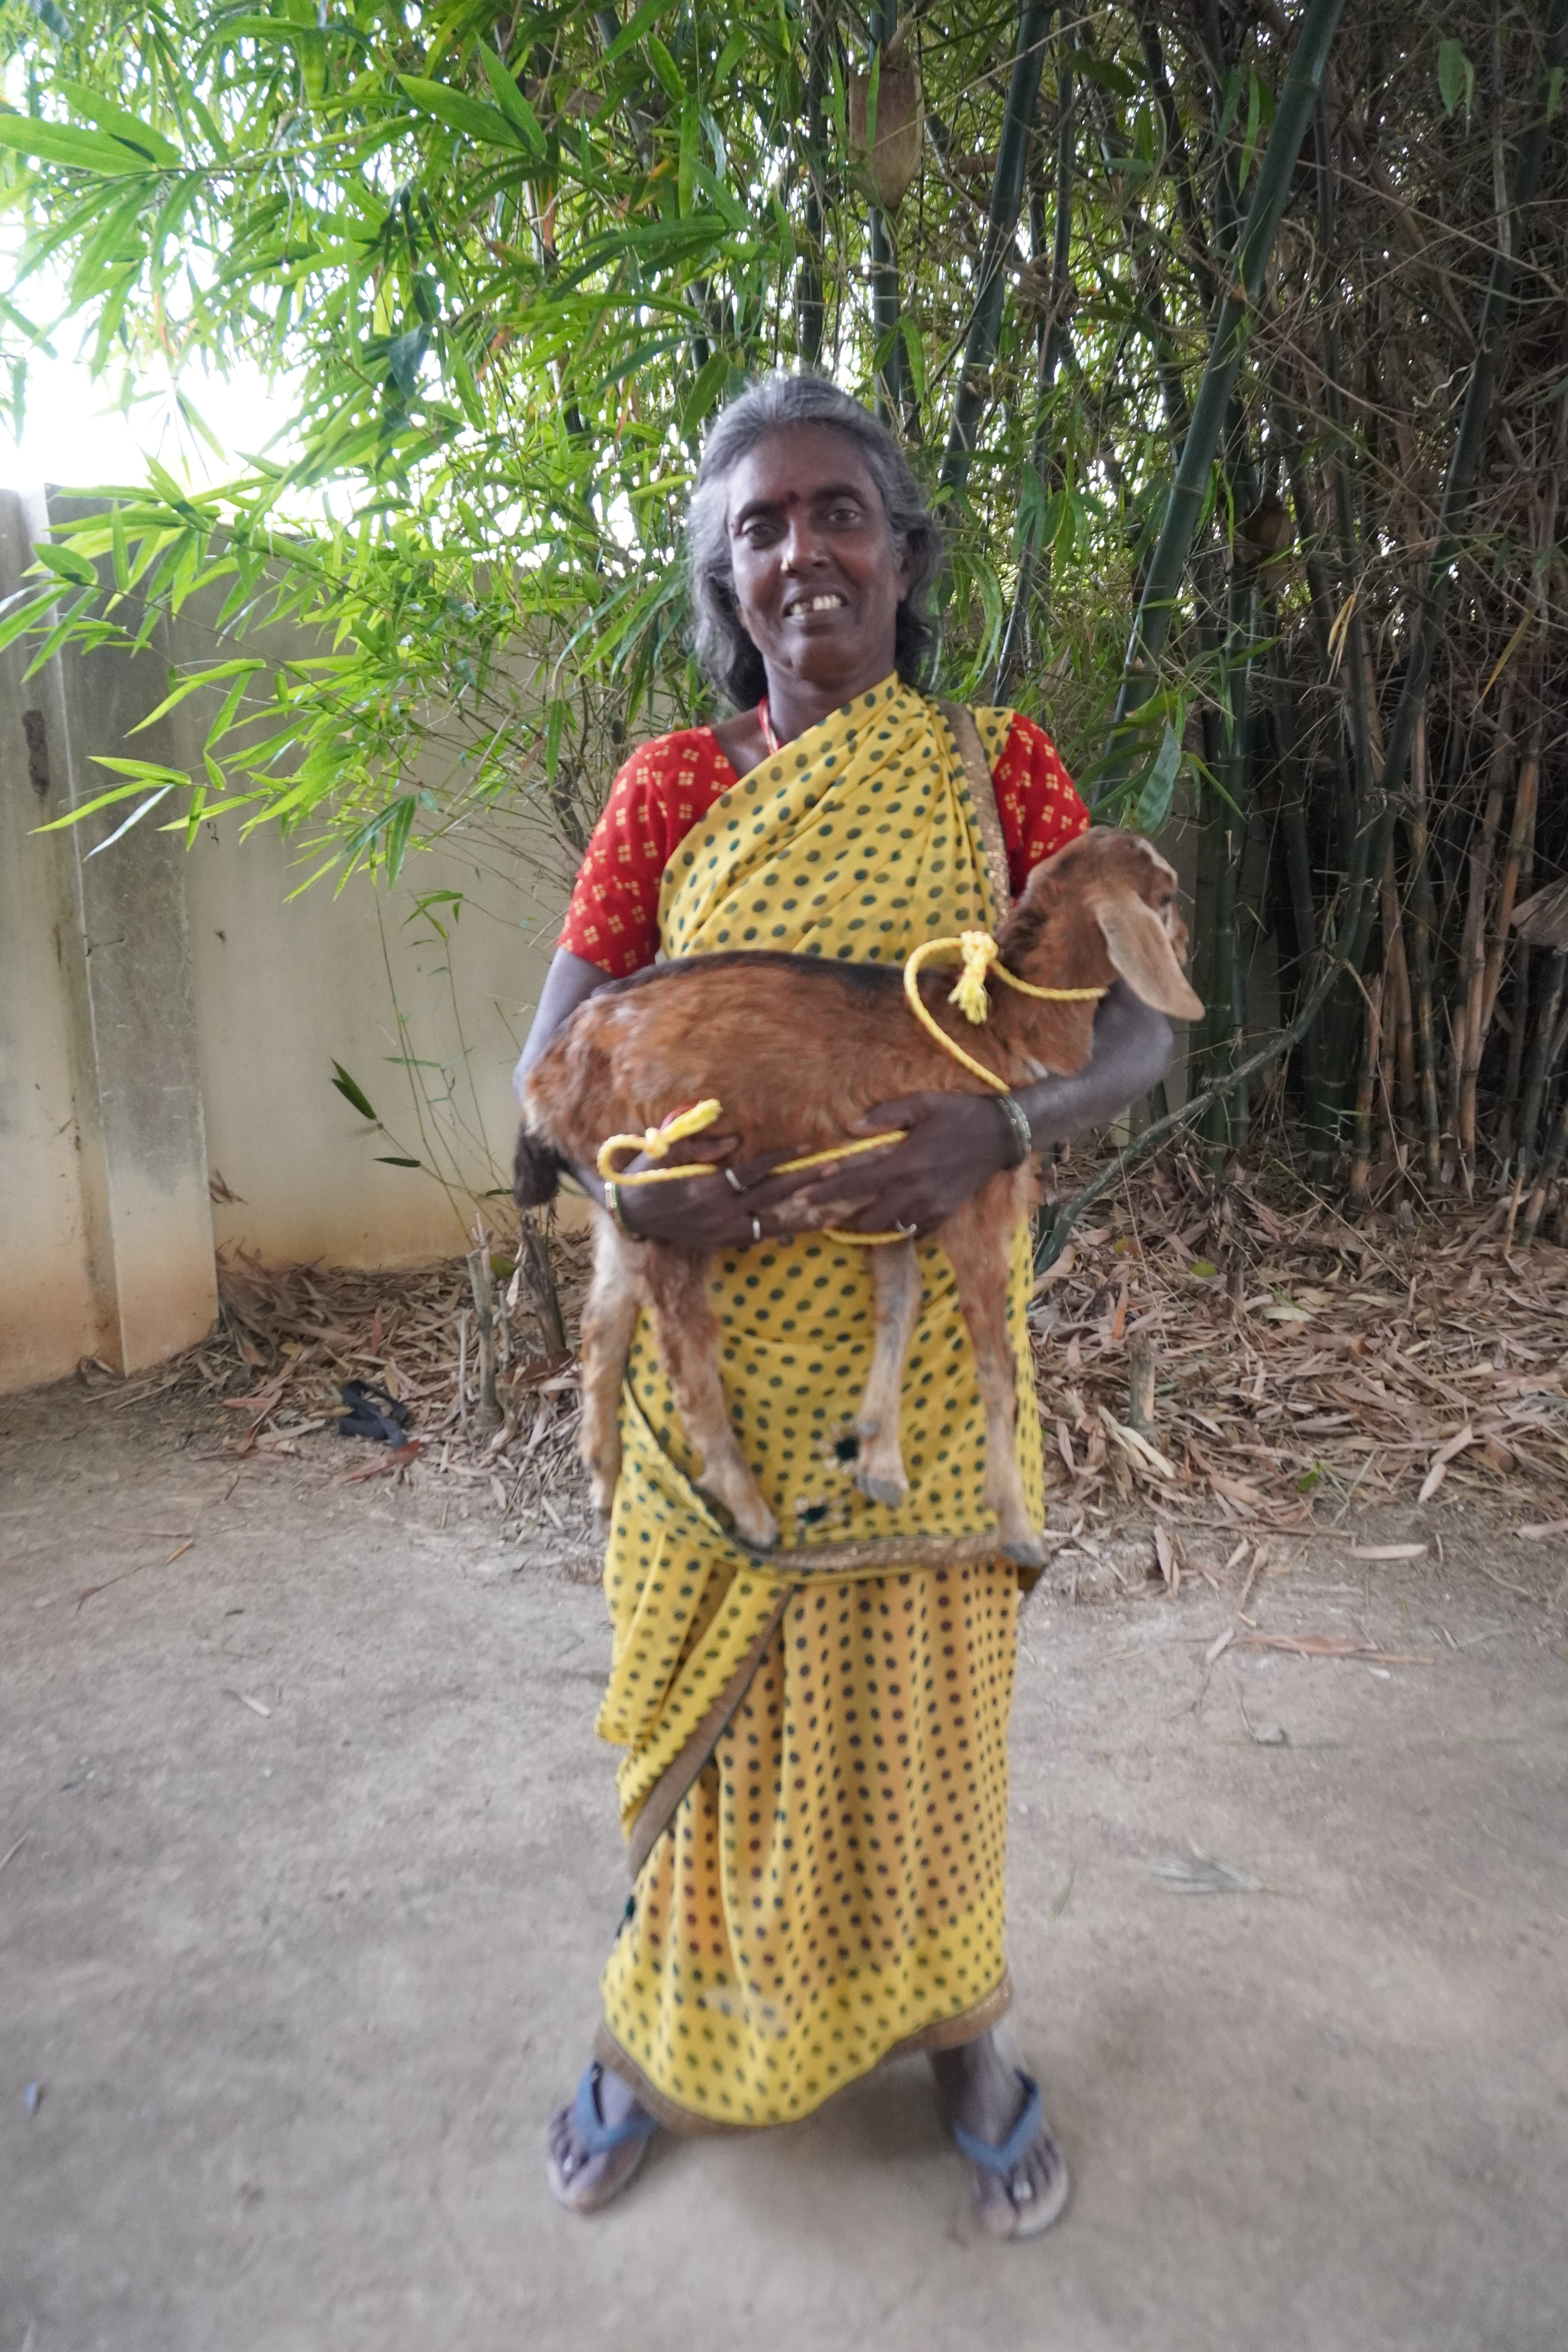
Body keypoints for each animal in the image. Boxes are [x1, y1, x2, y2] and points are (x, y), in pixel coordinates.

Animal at [514, 829, 1201, 1564]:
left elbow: (900, 1304)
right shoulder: (975, 1200)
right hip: (671, 1199)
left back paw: (604, 1479)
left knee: (602, 1324)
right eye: (1166, 896)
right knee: (686, 1365)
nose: (1189, 944)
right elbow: (998, 1367)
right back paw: (751, 1515)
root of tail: (546, 1080)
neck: (1001, 1026)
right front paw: (1017, 1529)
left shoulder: (892, 1196)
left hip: (620, 1205)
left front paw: (880, 1462)